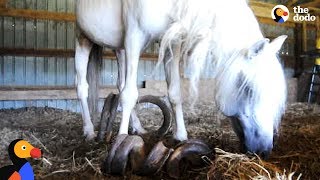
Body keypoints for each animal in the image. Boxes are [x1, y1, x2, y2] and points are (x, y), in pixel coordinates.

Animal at [75, 0, 288, 156]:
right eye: (249, 89)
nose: (264, 150)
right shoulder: (134, 36)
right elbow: (130, 94)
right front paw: (120, 140)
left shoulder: (172, 41)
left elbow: (174, 93)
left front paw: (181, 136)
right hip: (83, 38)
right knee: (83, 88)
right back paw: (89, 131)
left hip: (120, 49)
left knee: (120, 84)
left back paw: (138, 128)